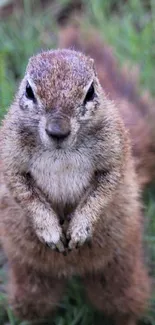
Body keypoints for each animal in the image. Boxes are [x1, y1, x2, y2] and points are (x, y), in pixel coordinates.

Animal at [0, 48, 150, 324]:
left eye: (90, 92)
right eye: (29, 90)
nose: (57, 131)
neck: (61, 151)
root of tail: (71, 270)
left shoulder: (114, 150)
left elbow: (105, 188)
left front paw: (80, 227)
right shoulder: (10, 154)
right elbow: (23, 191)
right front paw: (49, 230)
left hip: (119, 271)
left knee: (125, 303)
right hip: (31, 281)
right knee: (34, 306)